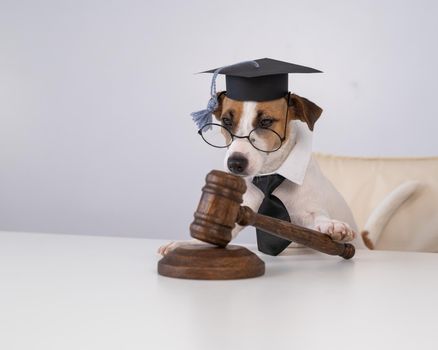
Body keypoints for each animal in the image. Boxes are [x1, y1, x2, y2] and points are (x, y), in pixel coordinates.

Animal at [158, 91, 366, 256]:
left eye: (265, 121)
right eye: (226, 121)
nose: (235, 163)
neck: (270, 174)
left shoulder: (309, 210)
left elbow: (319, 217)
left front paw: (332, 226)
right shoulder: (240, 212)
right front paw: (186, 244)